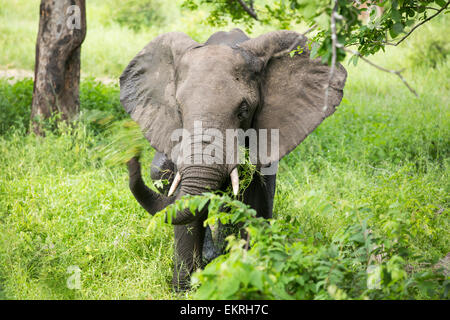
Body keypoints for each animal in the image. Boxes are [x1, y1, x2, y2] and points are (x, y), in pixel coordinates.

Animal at [120, 28, 348, 292]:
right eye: (178, 109)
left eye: (244, 110)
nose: (132, 155)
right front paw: (185, 289)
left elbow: (253, 200)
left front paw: (246, 272)